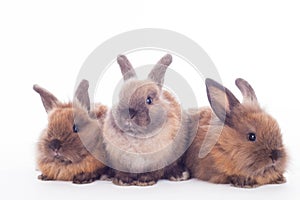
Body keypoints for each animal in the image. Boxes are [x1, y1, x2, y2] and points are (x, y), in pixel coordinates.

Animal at [102, 53, 189, 186]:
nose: (129, 114)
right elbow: (123, 172)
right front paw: (122, 180)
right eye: (121, 97)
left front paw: (145, 181)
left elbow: (154, 172)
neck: (136, 137)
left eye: (149, 100)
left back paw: (179, 175)